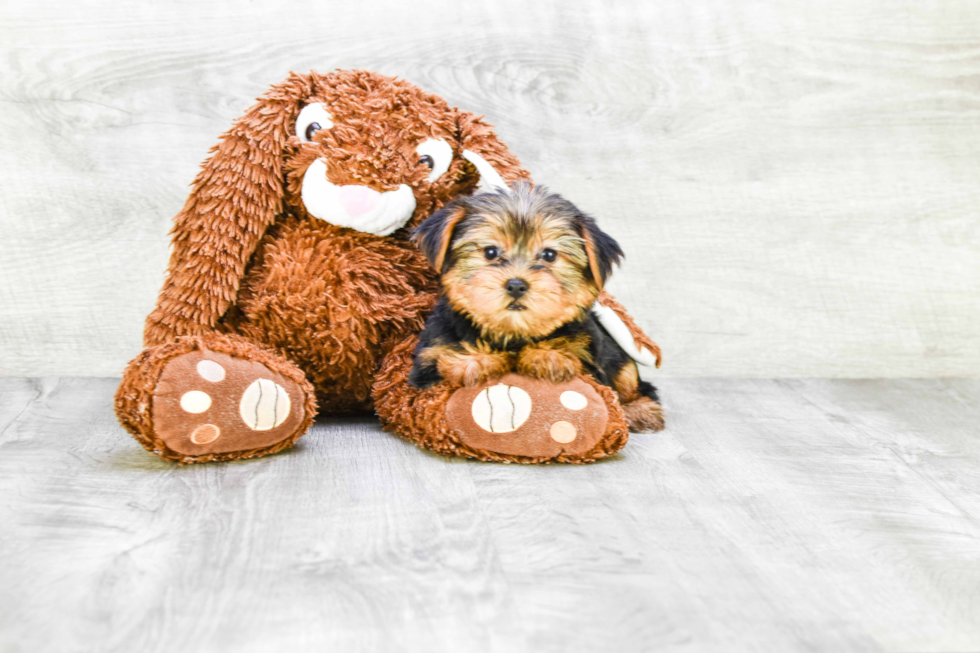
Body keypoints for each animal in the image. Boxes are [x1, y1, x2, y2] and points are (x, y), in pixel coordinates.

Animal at [406, 181, 668, 430]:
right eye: (490, 252)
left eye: (549, 255)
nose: (516, 285)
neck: (513, 334)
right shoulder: (430, 358)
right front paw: (474, 361)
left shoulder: (589, 360)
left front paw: (547, 356)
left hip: (620, 359)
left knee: (635, 384)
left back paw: (640, 410)